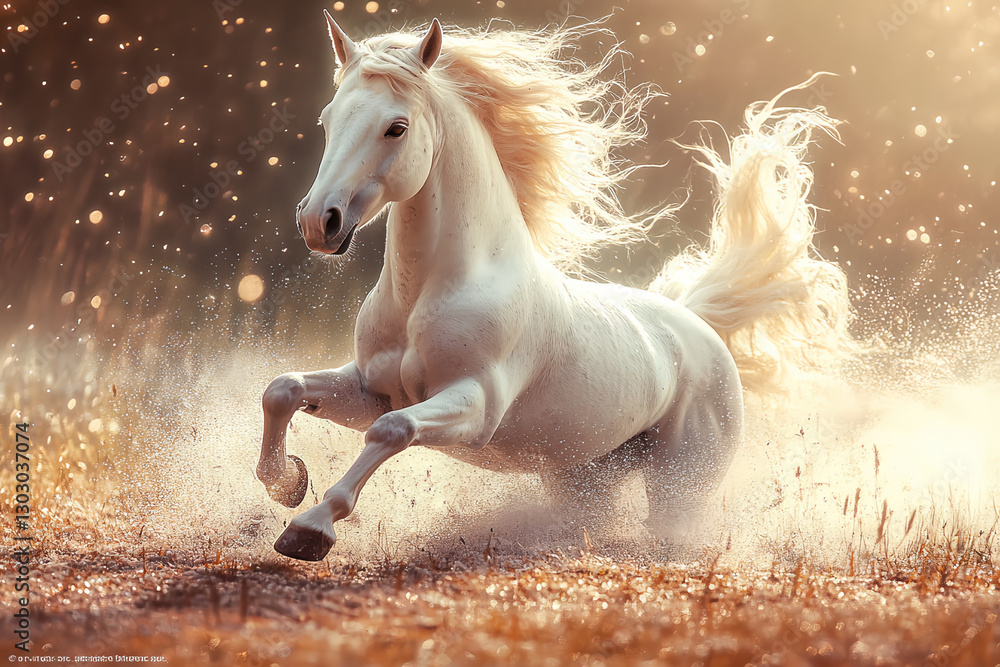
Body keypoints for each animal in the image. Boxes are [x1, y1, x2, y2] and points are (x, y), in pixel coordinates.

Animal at [255, 13, 851, 561]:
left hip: (681, 489)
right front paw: (288, 483)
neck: (433, 290)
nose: (319, 223)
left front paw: (310, 528)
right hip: (583, 479)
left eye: (396, 127)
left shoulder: (476, 406)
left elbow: (390, 430)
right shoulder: (368, 389)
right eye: (328, 119)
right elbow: (283, 389)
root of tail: (698, 326)